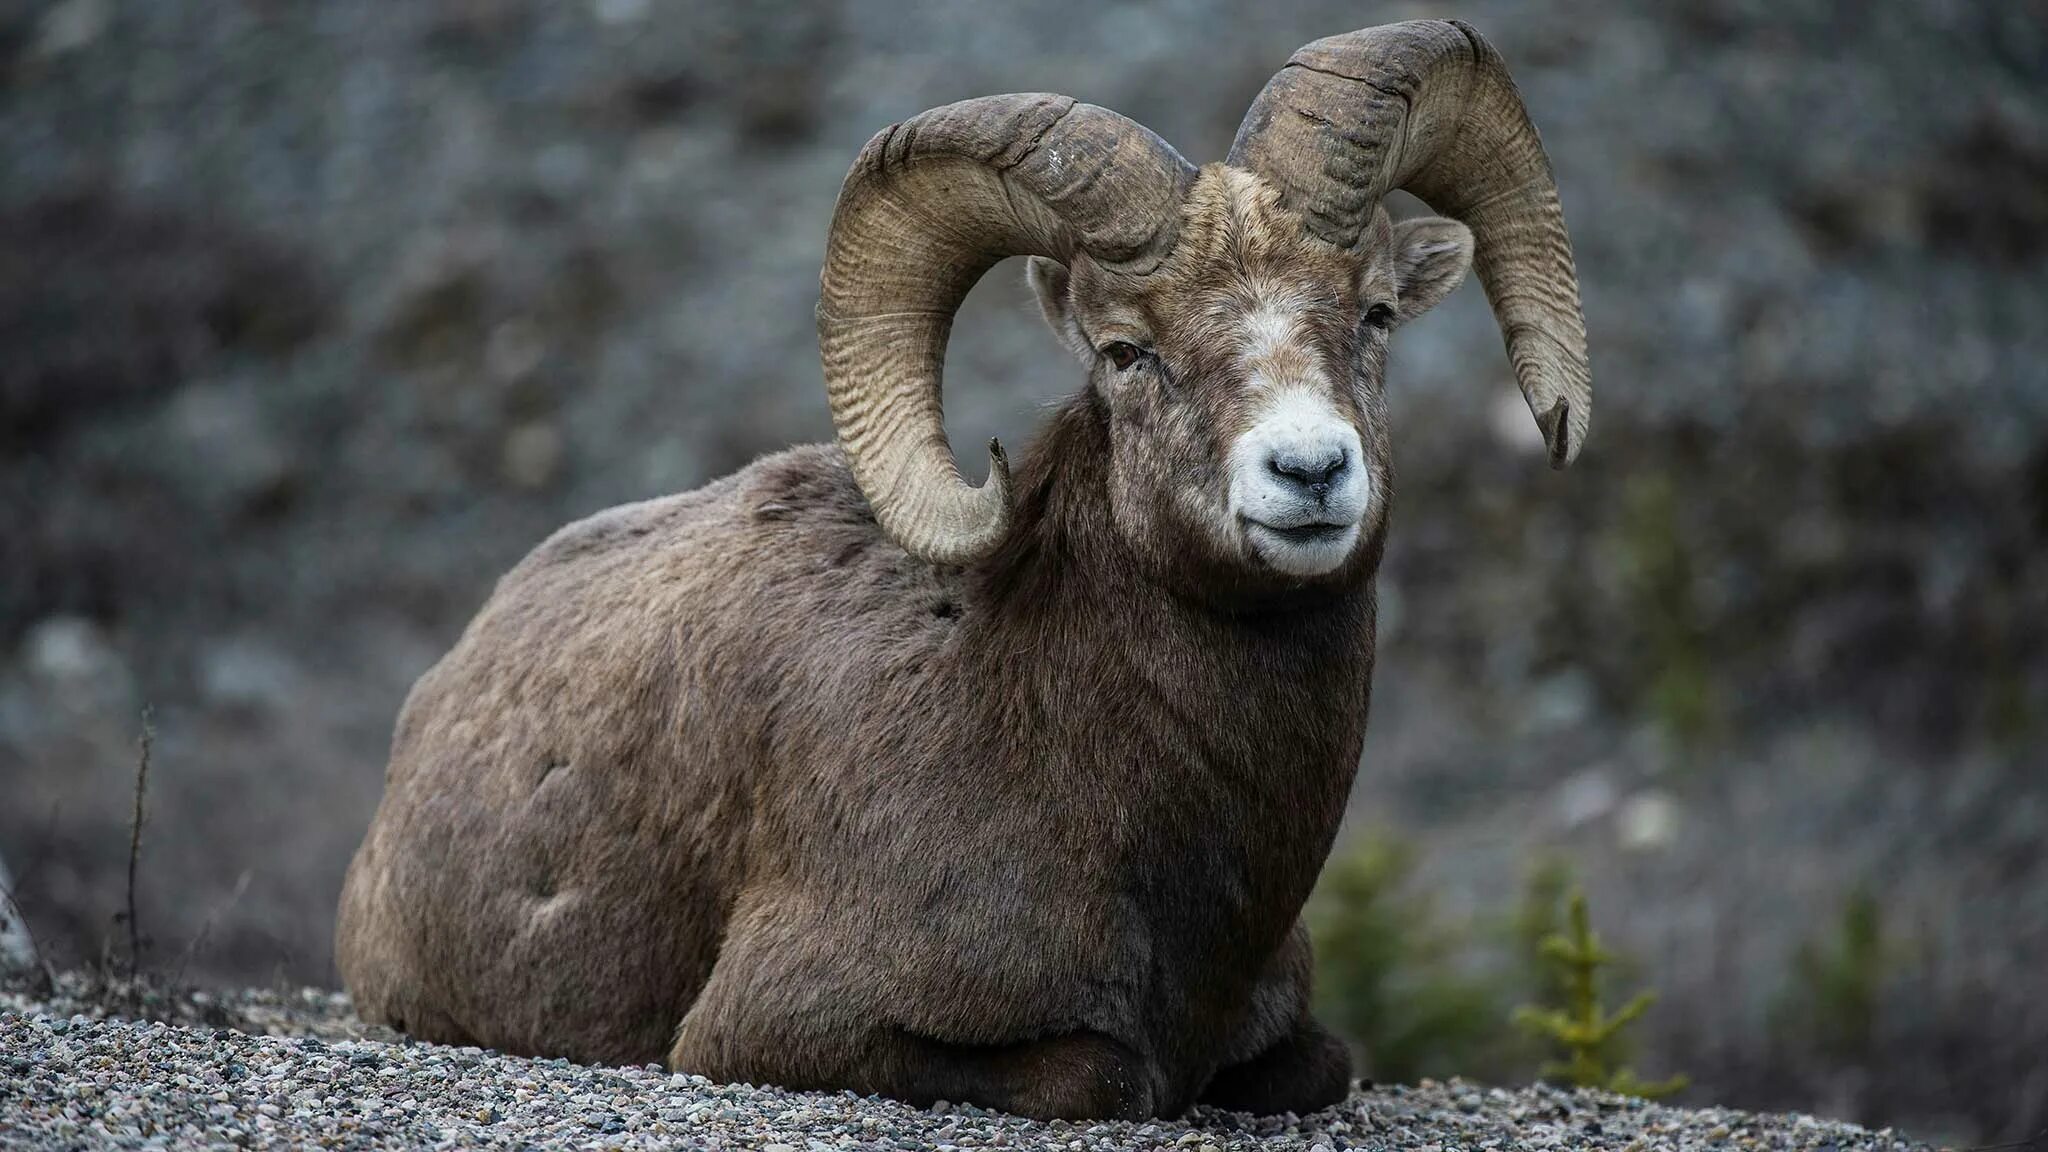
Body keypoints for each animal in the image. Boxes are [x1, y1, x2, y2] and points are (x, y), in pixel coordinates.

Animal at [335, 22, 1589, 1115]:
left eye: (1373, 315)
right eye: (1125, 350)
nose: (1309, 471)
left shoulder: (1292, 1037)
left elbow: (1317, 1065)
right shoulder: (773, 1030)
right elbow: (1111, 1077)